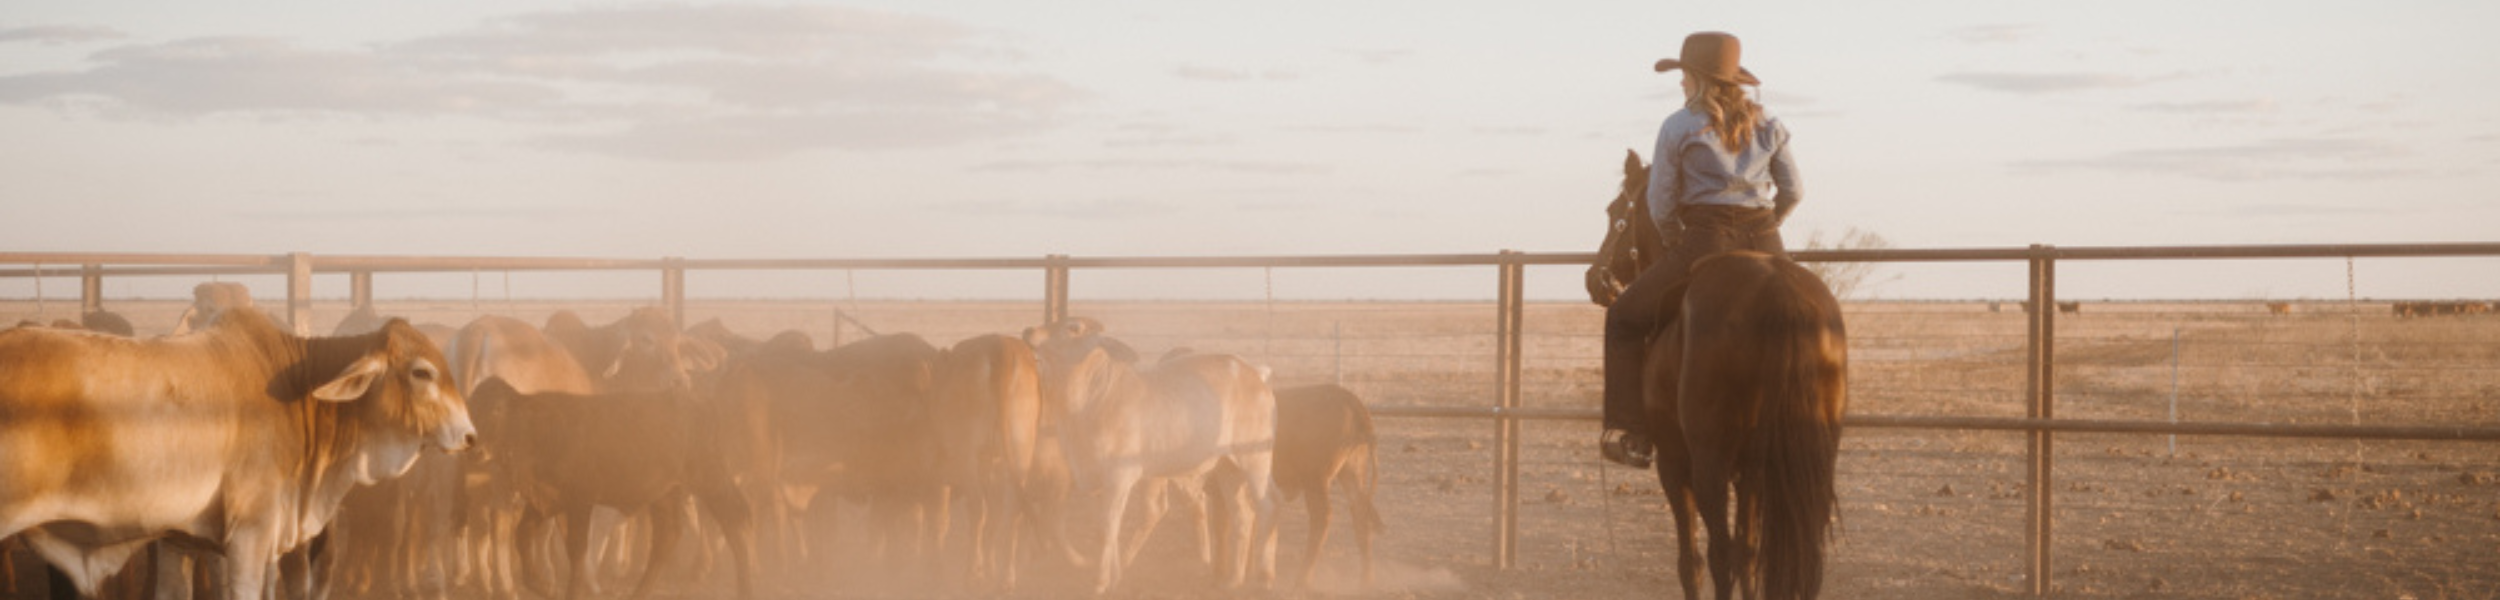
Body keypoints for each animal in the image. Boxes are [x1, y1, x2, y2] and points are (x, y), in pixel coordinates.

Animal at [1026, 318, 1279, 593]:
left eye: (1074, 327)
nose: (1029, 331)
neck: (1093, 397)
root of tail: (1254, 374)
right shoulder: (1099, 481)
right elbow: (1109, 530)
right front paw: (1115, 577)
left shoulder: (1118, 477)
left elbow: (1106, 530)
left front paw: (1100, 583)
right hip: (1227, 466)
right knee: (1243, 514)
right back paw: (1232, 581)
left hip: (1255, 459)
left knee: (1267, 505)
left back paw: (1265, 577)